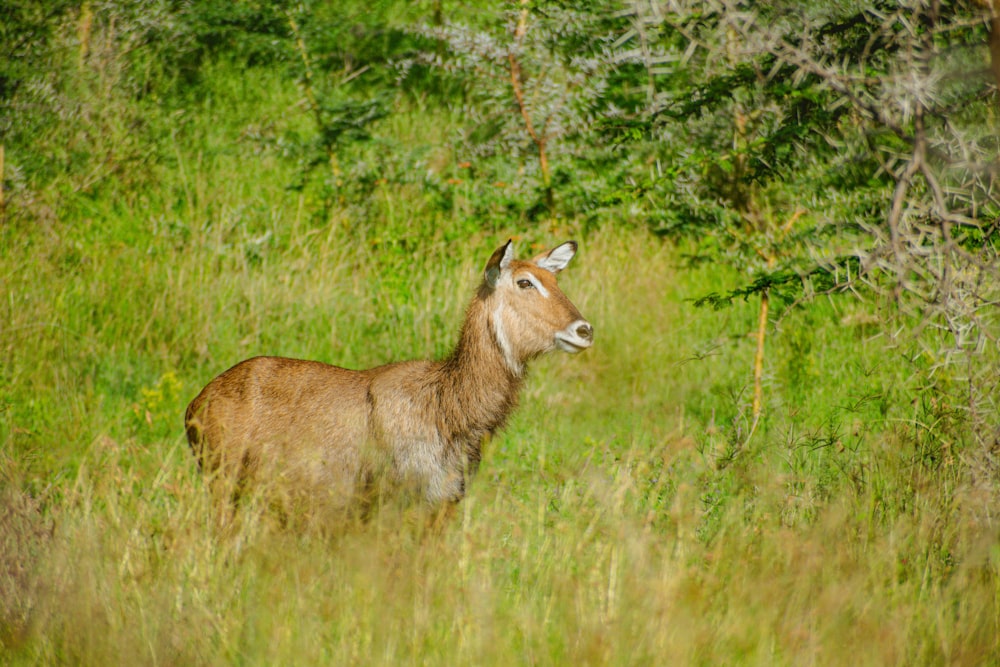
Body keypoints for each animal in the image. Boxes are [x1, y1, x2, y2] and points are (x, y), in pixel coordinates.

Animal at [186, 240, 592, 528]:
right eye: (525, 282)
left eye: (555, 280)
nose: (584, 330)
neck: (448, 406)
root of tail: (197, 400)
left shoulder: (444, 504)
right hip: (223, 484)